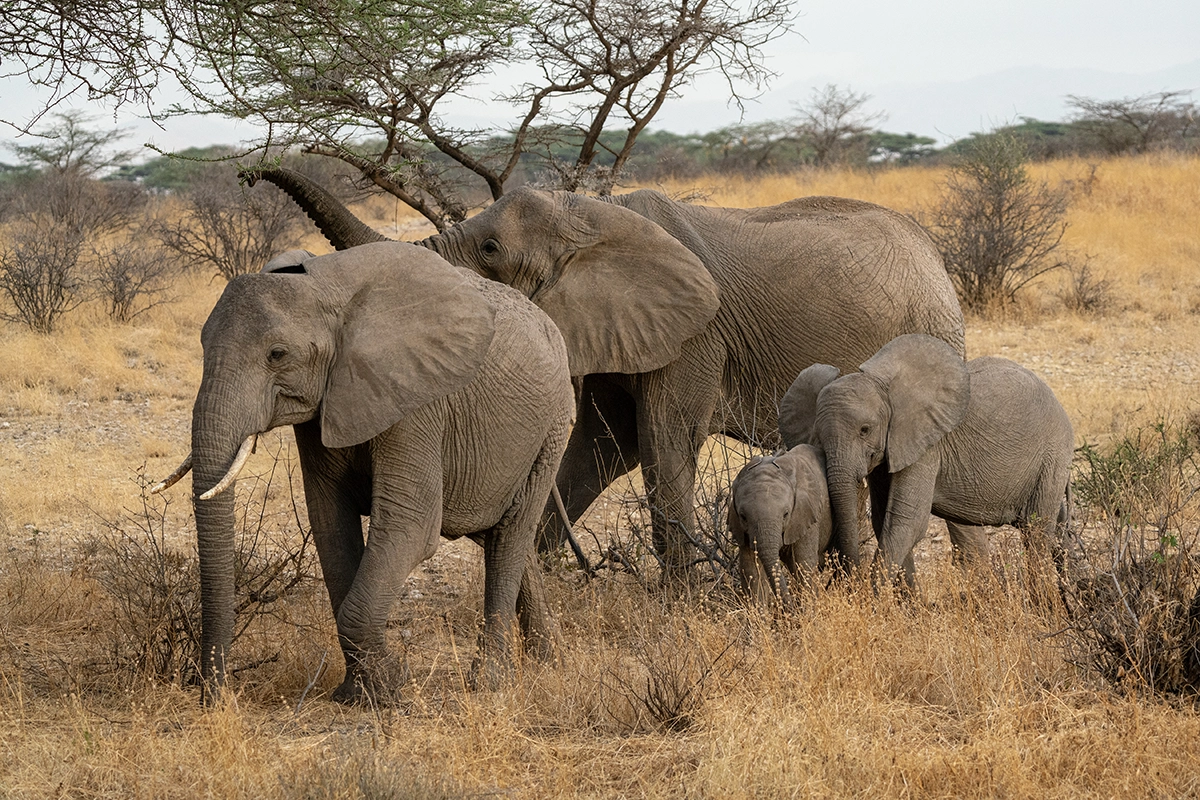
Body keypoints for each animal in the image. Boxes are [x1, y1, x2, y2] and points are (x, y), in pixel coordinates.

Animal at [153, 242, 575, 701]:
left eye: (277, 355)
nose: (216, 695)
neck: (328, 290)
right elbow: (330, 524)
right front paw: (358, 692)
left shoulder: (418, 402)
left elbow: (409, 526)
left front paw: (392, 685)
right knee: (501, 536)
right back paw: (548, 662)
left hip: (553, 425)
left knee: (509, 536)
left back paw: (491, 682)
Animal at [240, 165, 966, 580]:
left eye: (491, 250)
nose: (248, 174)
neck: (591, 211)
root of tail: (935, 256)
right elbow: (597, 450)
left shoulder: (696, 336)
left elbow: (662, 446)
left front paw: (680, 610)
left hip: (931, 332)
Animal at [727, 444, 833, 605]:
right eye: (743, 517)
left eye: (786, 514)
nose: (790, 606)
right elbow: (751, 568)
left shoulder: (807, 516)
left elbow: (804, 564)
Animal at [777, 333, 1073, 591]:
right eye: (818, 437)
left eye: (865, 430)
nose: (842, 580)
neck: (885, 387)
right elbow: (884, 518)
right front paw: (908, 607)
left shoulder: (926, 446)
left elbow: (907, 520)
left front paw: (871, 603)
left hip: (1053, 454)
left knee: (1036, 531)